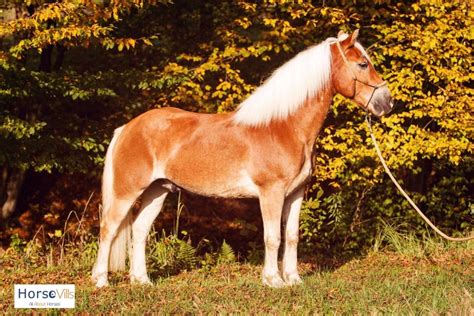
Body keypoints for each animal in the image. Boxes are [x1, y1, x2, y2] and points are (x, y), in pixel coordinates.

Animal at [91, 30, 392, 288]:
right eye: (363, 64)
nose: (387, 102)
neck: (284, 127)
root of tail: (127, 128)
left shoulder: (296, 193)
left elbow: (292, 236)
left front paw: (293, 279)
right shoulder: (271, 192)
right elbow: (273, 237)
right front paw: (273, 280)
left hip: (158, 190)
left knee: (140, 230)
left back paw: (142, 280)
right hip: (128, 191)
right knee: (108, 229)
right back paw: (101, 281)